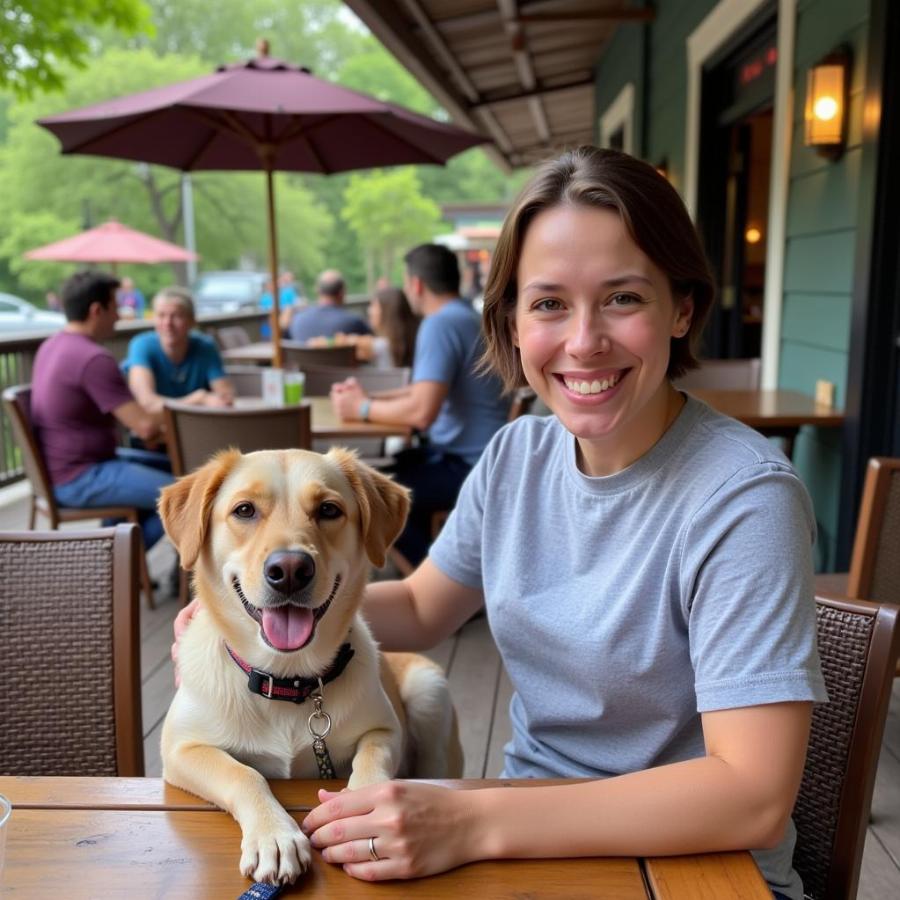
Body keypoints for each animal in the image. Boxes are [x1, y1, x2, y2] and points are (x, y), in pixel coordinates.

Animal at [157, 446, 460, 884]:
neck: (288, 679)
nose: (289, 571)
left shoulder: (385, 730)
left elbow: (372, 759)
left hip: (428, 691)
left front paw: (364, 807)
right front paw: (274, 835)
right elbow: (243, 773)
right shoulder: (181, 748)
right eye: (244, 510)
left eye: (329, 509)